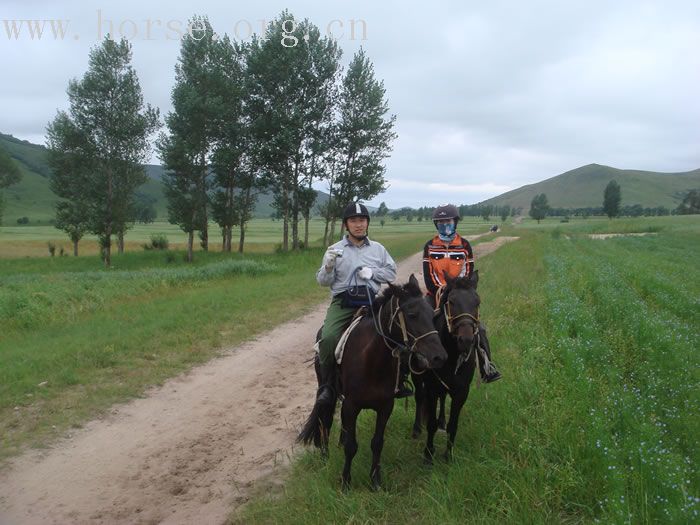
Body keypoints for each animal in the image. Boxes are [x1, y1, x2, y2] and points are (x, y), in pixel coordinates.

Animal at [298, 272, 446, 490]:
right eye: (412, 315)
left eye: (432, 314)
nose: (439, 357)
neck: (371, 360)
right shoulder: (351, 405)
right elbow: (351, 446)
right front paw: (345, 482)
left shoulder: (385, 406)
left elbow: (377, 443)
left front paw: (375, 480)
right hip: (329, 392)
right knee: (325, 419)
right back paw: (325, 456)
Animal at [412, 270, 484, 462]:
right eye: (451, 301)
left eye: (477, 302)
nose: (465, 340)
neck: (451, 355)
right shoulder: (431, 388)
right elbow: (430, 423)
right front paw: (428, 454)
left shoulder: (461, 392)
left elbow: (454, 424)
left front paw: (448, 455)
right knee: (419, 396)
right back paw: (416, 429)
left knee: (443, 399)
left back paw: (442, 421)